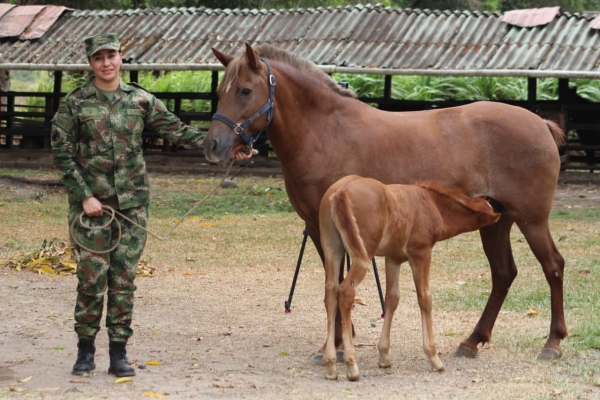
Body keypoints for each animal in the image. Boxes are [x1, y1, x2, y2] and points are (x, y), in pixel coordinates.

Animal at [322, 177, 500, 380]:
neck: (431, 204)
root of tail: (341, 191)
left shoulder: (393, 259)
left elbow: (392, 299)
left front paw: (384, 356)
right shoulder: (420, 254)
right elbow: (425, 298)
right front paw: (434, 357)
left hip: (333, 251)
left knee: (331, 293)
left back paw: (330, 364)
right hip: (363, 254)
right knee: (346, 291)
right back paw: (351, 364)